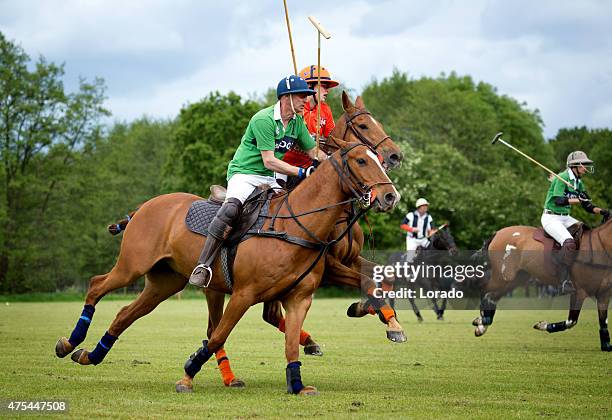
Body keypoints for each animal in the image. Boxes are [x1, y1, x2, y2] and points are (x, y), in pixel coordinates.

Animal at [56, 139, 402, 396]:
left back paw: (90, 355)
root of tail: (145, 205)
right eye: (361, 161)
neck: (297, 224)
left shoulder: (299, 296)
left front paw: (297, 384)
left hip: (165, 282)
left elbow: (290, 342)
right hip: (133, 265)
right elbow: (218, 335)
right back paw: (69, 342)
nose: (390, 196)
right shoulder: (244, 294)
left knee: (125, 314)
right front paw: (187, 375)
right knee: (97, 285)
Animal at [470, 217, 608, 352]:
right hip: (503, 276)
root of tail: (497, 233)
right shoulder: (580, 291)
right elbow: (572, 320)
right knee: (485, 291)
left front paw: (606, 345)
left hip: (516, 278)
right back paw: (483, 322)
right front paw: (543, 325)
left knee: (492, 296)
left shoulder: (603, 293)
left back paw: (483, 323)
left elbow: (603, 319)